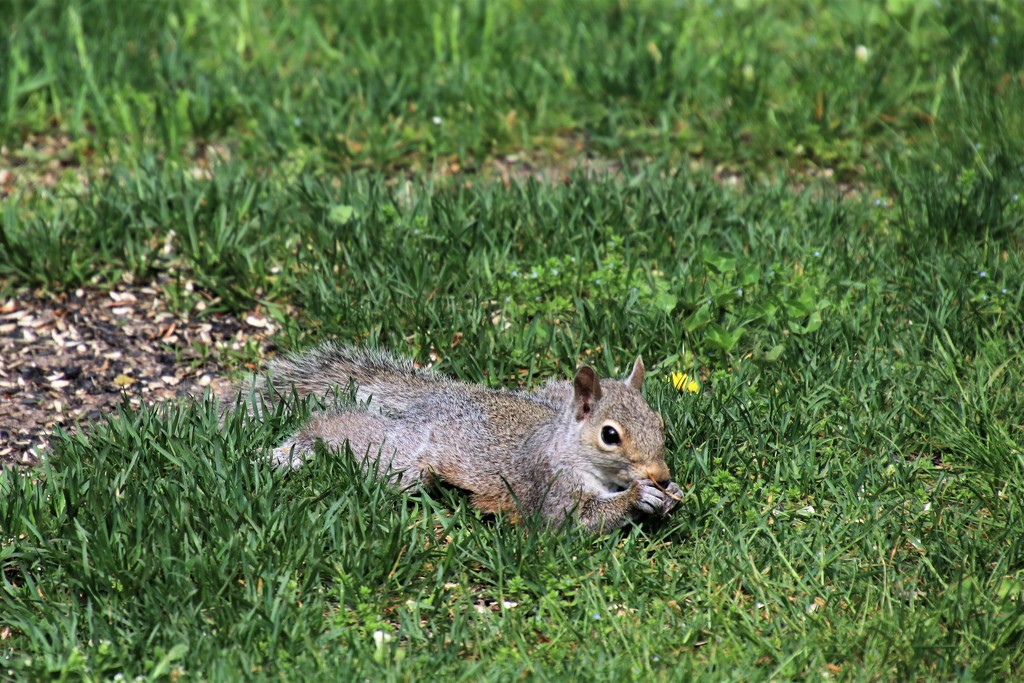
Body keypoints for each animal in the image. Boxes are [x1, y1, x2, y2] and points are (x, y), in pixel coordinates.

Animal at [231, 342, 679, 532]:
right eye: (610, 435)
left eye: (659, 422)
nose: (661, 475)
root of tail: (439, 395)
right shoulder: (550, 486)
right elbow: (575, 520)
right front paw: (638, 497)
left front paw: (669, 496)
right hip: (406, 459)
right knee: (338, 429)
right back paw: (293, 449)